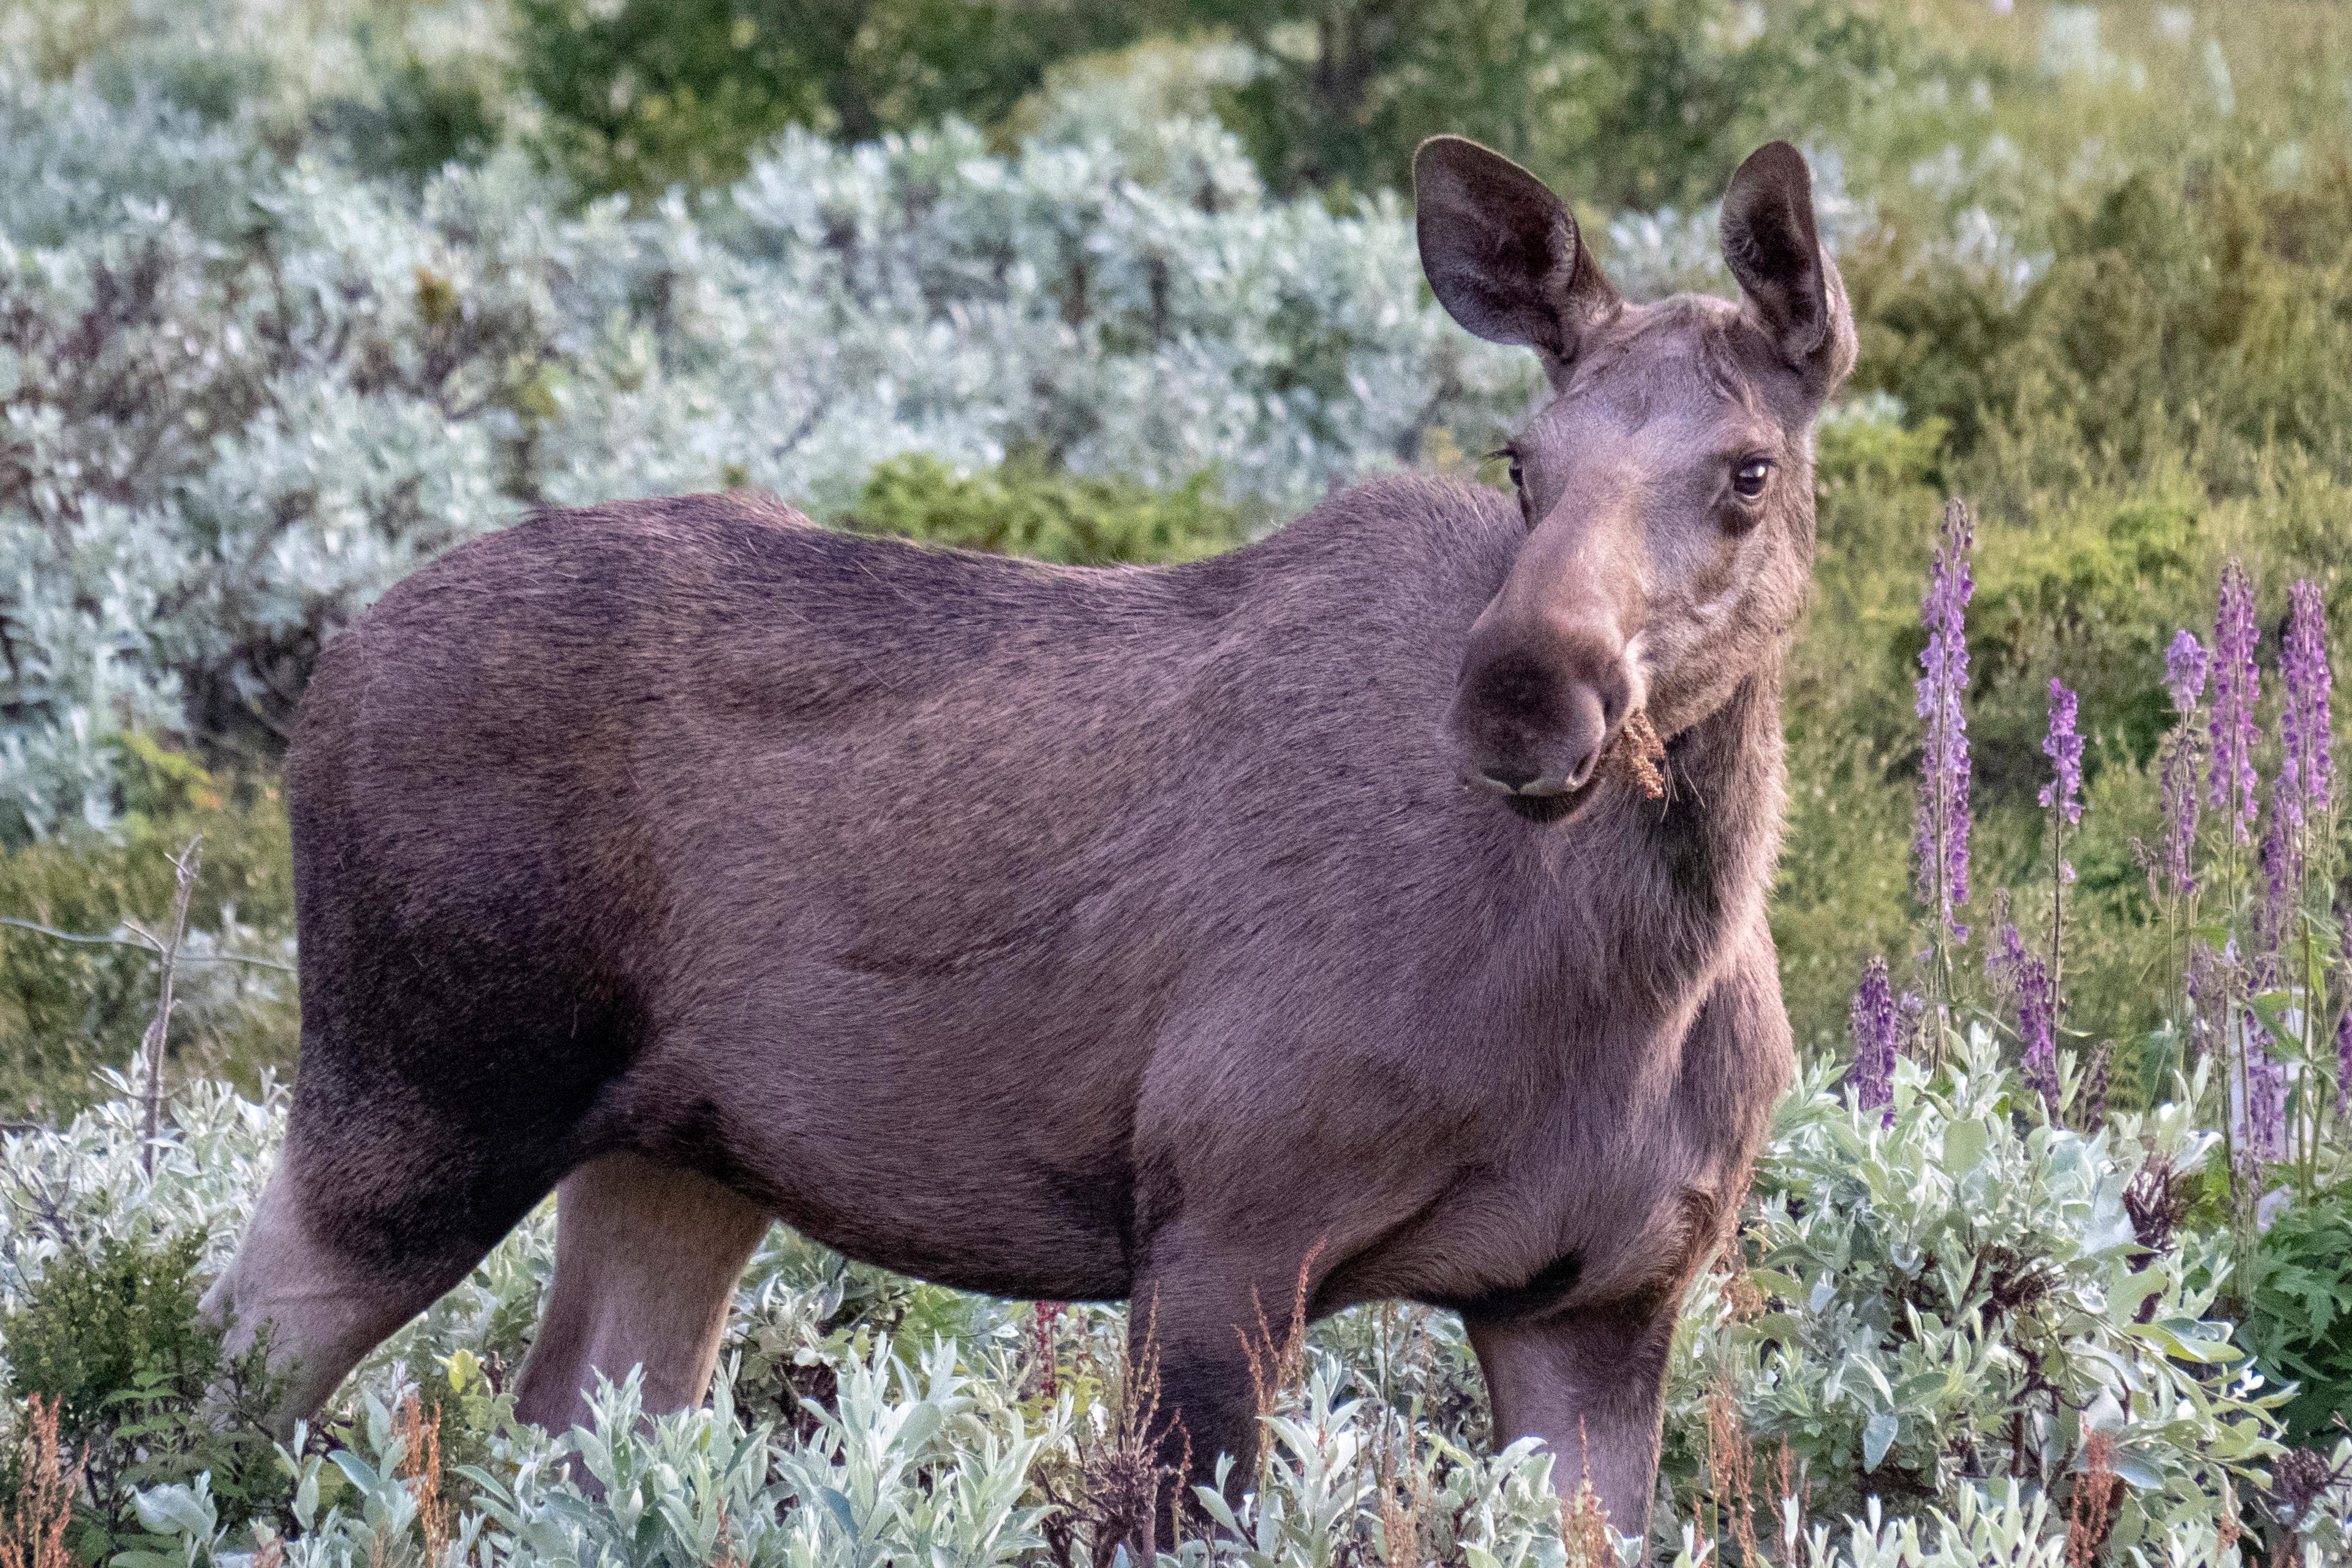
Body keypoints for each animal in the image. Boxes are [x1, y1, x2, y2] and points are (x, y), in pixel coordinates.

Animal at [206, 141, 1853, 1542]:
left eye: (1748, 467)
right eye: (1522, 459)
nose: (1522, 690)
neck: (1634, 988)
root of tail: (321, 681)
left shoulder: (1596, 1296)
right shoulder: (1221, 1226)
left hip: (673, 1155)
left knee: (573, 1423)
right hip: (419, 1091)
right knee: (210, 1373)